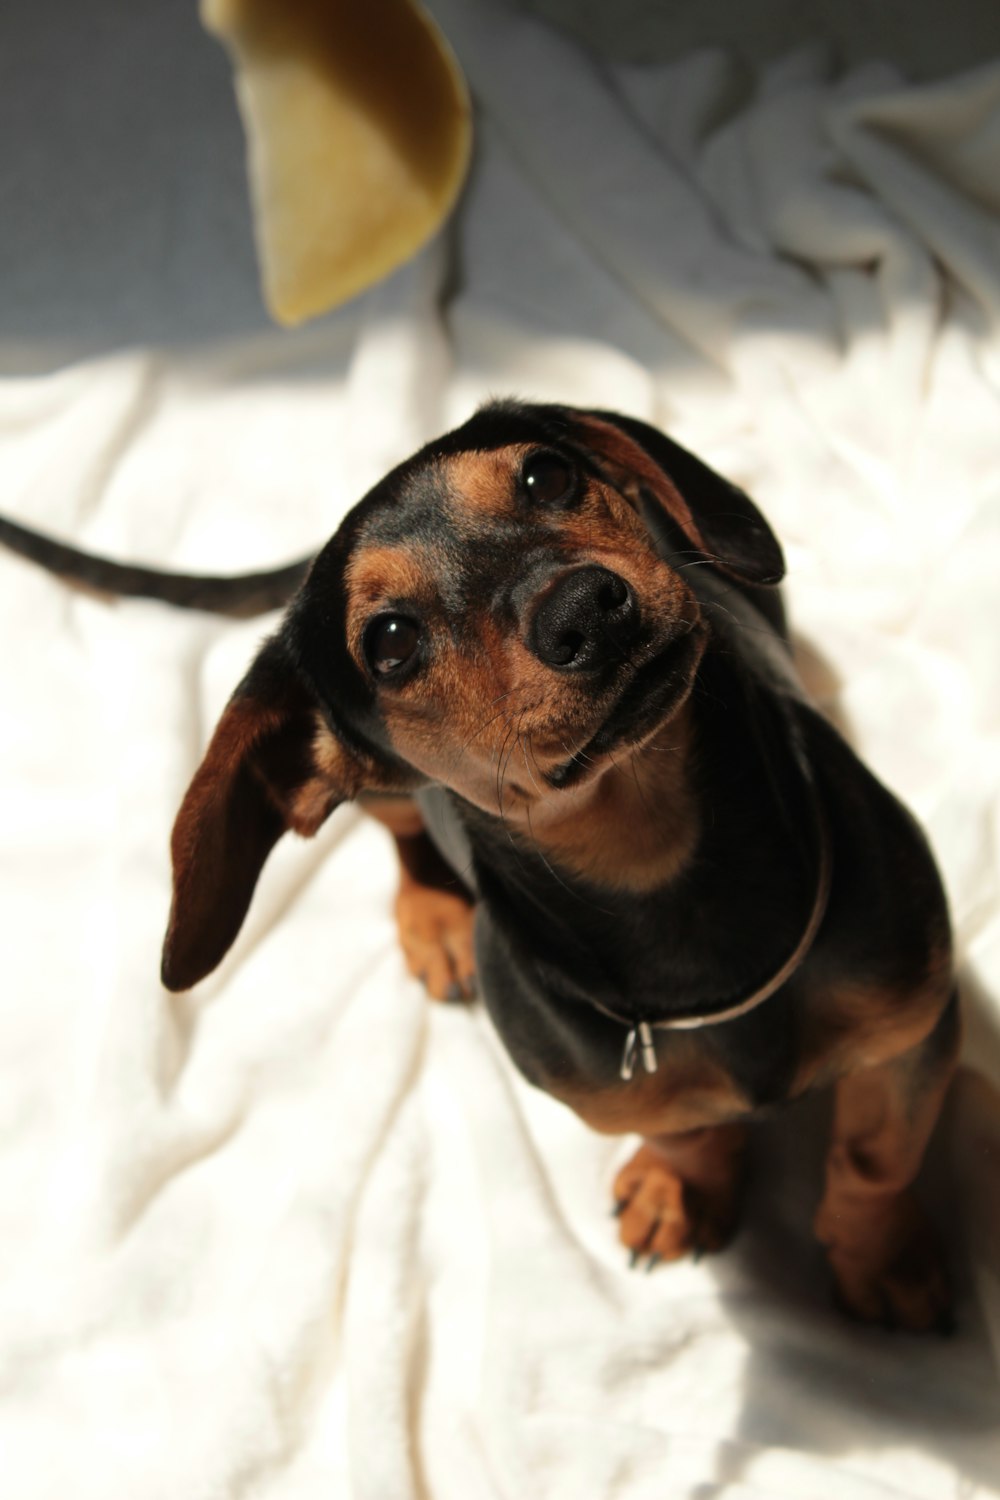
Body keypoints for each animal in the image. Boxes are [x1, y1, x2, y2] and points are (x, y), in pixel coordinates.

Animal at [0, 399, 959, 1326]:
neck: (663, 871)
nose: (585, 608)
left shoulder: (912, 1030)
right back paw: (437, 920)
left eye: (548, 474)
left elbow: (874, 1160)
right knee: (404, 837)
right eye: (389, 642)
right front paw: (679, 1184)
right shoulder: (612, 1091)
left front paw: (878, 1258)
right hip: (385, 794)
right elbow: (684, 1129)